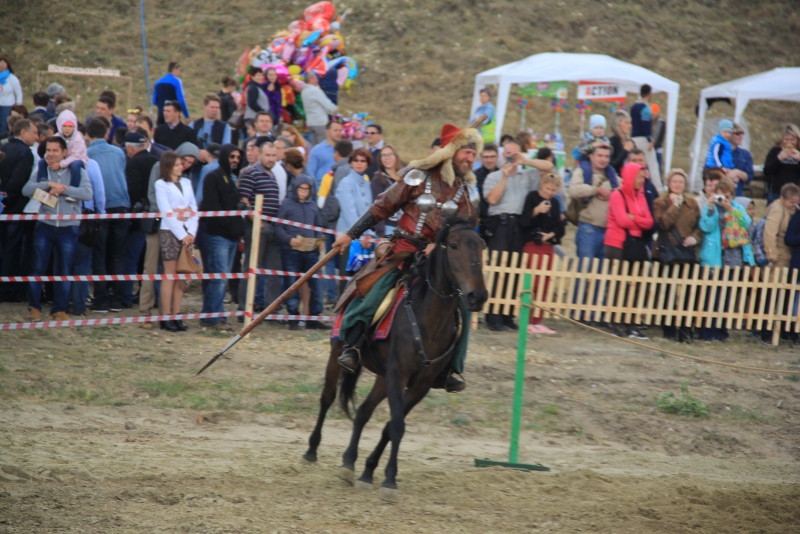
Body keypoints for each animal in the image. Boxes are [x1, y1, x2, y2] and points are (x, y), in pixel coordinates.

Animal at [303, 217, 488, 502]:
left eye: (480, 246)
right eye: (454, 245)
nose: (477, 296)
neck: (428, 318)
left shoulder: (419, 384)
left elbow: (391, 426)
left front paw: (369, 472)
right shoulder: (398, 374)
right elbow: (397, 426)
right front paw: (389, 480)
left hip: (382, 377)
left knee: (363, 412)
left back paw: (349, 463)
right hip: (338, 354)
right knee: (327, 398)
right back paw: (312, 450)